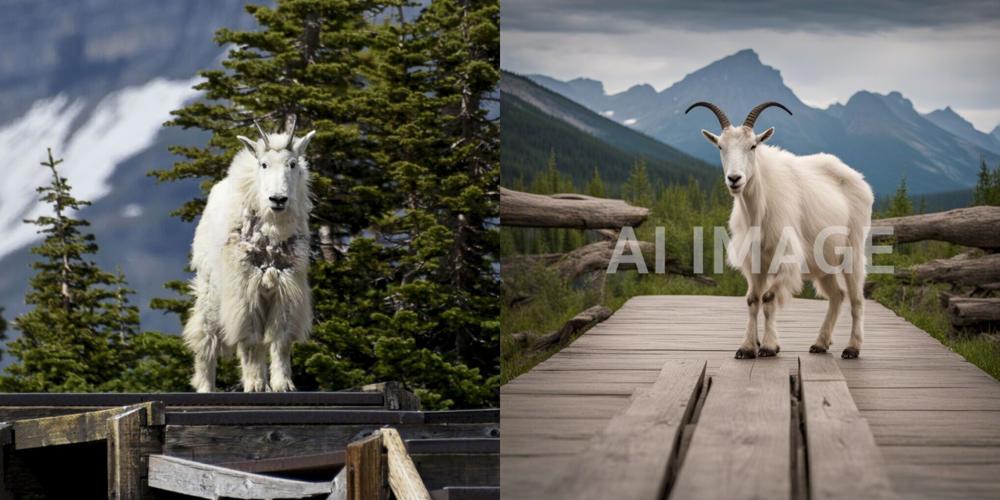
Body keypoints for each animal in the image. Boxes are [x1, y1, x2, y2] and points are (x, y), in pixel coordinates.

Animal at [183, 117, 316, 391]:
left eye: (292, 163)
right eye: (263, 164)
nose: (278, 199)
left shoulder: (285, 284)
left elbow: (280, 338)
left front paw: (283, 384)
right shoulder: (244, 286)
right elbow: (251, 339)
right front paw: (255, 384)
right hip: (210, 289)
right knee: (205, 336)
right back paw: (206, 386)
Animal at [687, 101, 874, 359]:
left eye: (753, 146)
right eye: (720, 147)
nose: (734, 179)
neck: (758, 210)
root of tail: (860, 180)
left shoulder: (785, 258)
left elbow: (768, 297)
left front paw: (768, 346)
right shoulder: (755, 261)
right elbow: (752, 299)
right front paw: (747, 347)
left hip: (852, 248)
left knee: (856, 298)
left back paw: (852, 348)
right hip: (823, 261)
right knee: (837, 295)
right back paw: (820, 343)